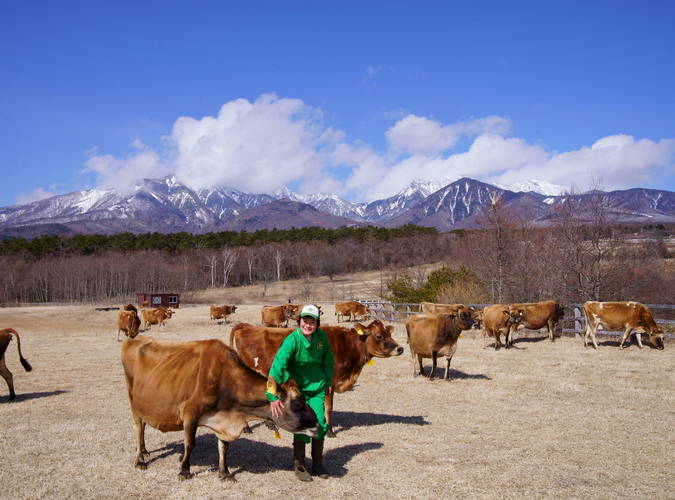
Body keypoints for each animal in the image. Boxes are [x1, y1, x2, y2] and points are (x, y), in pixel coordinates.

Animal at [119, 336, 320, 480]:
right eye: (297, 404)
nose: (318, 426)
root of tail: (134, 339)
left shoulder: (223, 420)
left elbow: (224, 447)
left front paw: (224, 472)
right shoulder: (190, 413)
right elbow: (190, 444)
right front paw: (184, 470)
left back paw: (144, 450)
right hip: (133, 403)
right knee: (138, 428)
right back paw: (139, 459)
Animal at [230, 322, 404, 436]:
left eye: (390, 333)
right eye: (379, 336)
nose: (400, 348)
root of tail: (246, 326)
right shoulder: (330, 382)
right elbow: (328, 407)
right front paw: (330, 431)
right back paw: (246, 428)